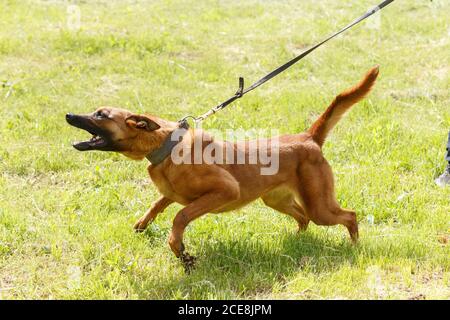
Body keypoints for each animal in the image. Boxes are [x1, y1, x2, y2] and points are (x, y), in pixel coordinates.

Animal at [66, 67, 380, 270]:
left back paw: (354, 246)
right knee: (302, 219)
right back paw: (295, 242)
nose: (68, 115)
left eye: (101, 115)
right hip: (277, 199)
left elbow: (180, 217)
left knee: (349, 216)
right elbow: (158, 204)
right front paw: (143, 225)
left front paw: (180, 250)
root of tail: (308, 138)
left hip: (319, 206)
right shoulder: (173, 193)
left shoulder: (224, 191)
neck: (165, 145)